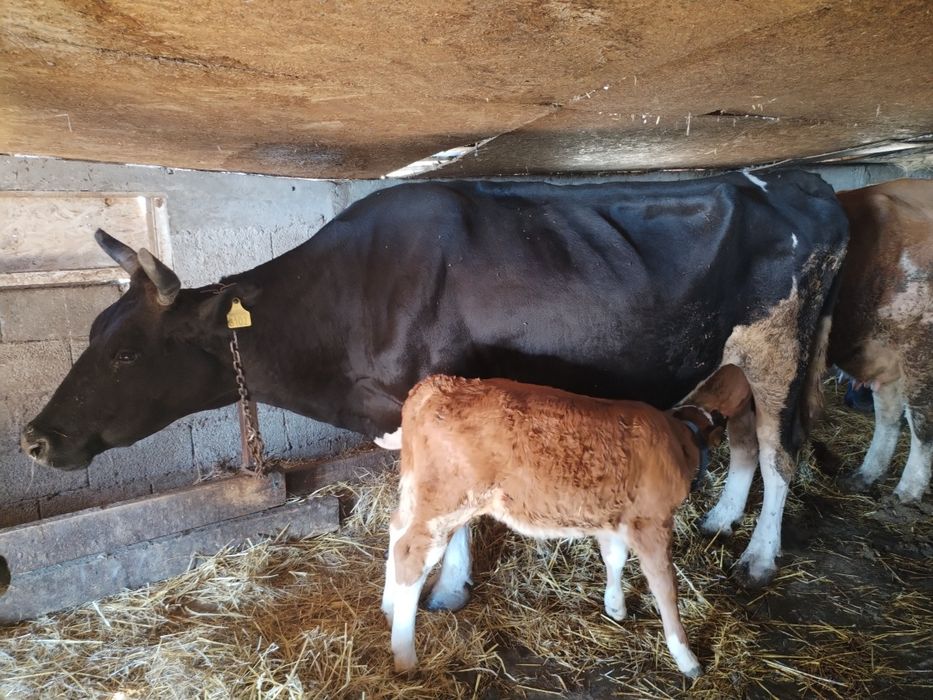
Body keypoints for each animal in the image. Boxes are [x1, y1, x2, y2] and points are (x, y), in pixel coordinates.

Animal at [20, 170, 849, 590]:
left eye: (127, 354)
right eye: (91, 334)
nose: (34, 438)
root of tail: (804, 181)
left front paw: (444, 589)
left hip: (780, 343)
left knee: (778, 450)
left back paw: (759, 557)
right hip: (737, 355)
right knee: (743, 438)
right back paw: (719, 520)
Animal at [383, 374, 729, 678]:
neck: (679, 442)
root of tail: (435, 385)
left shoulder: (613, 518)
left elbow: (614, 558)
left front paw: (615, 606)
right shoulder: (652, 523)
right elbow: (665, 586)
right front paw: (686, 656)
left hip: (422, 495)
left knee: (397, 530)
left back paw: (389, 606)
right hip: (446, 502)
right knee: (411, 554)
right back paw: (406, 656)